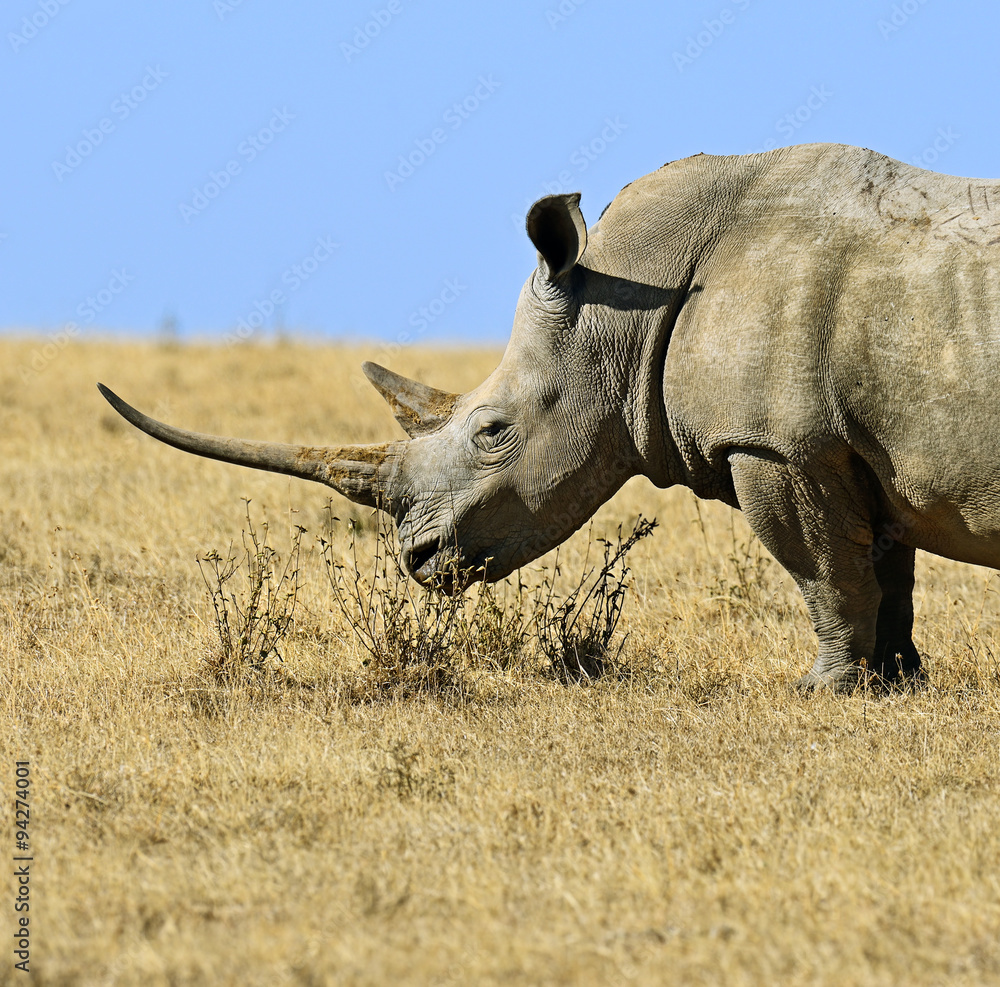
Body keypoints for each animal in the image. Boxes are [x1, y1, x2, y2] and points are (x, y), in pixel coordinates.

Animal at [99, 142, 1000, 691]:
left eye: (492, 431)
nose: (417, 558)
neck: (625, 303)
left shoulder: (781, 445)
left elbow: (824, 569)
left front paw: (822, 690)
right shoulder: (850, 444)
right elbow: (884, 570)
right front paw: (896, 681)